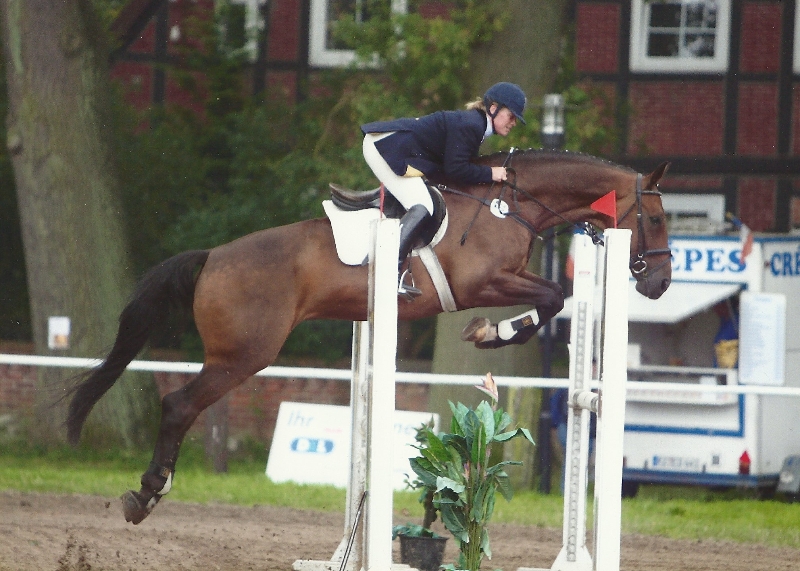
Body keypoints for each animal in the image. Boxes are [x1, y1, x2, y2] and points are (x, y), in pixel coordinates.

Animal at [65, 149, 672, 525]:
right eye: (661, 219)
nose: (660, 284)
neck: (510, 205)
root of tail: (213, 256)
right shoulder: (483, 282)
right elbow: (551, 297)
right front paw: (491, 333)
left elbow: (553, 297)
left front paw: (491, 332)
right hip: (243, 355)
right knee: (178, 405)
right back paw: (147, 494)